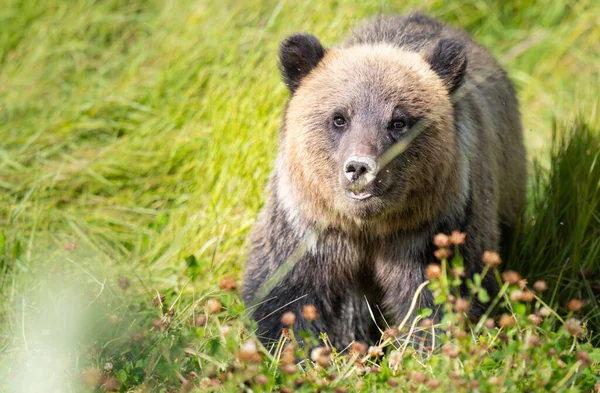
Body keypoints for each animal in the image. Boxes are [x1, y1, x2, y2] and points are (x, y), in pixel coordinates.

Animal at [241, 13, 528, 350]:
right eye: (339, 118)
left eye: (399, 121)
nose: (360, 167)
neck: (370, 229)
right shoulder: (310, 230)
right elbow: (286, 299)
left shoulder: (431, 232)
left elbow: (437, 300)